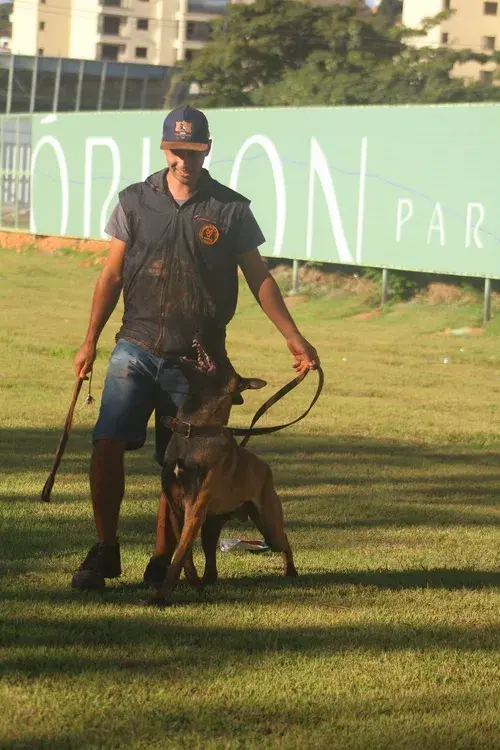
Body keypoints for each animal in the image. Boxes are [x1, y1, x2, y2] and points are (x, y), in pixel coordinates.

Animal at [152, 344, 296, 608]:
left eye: (225, 362)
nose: (212, 345)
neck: (194, 431)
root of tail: (265, 467)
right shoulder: (177, 509)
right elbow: (184, 555)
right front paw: (191, 583)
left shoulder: (194, 508)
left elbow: (179, 555)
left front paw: (162, 596)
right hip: (211, 527)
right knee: (211, 560)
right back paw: (207, 581)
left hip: (269, 526)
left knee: (284, 541)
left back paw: (290, 571)